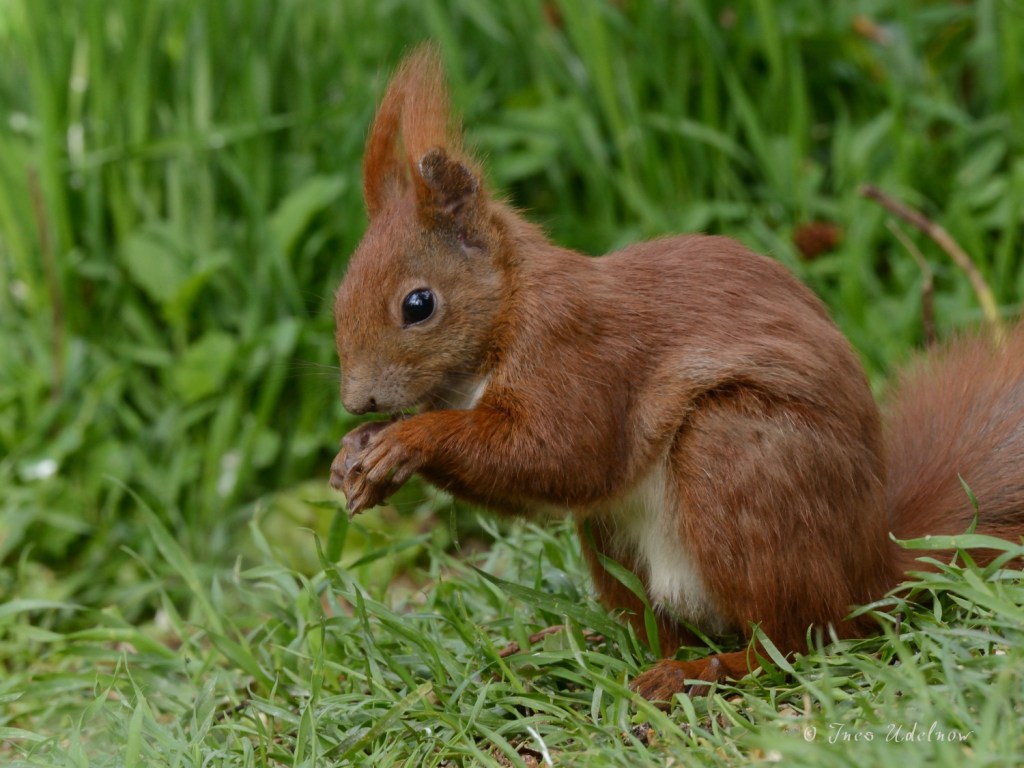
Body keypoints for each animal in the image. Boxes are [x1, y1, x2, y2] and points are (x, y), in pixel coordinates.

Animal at [328, 45, 1024, 702]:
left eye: (419, 304)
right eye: (338, 298)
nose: (358, 402)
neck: (506, 314)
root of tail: (876, 568)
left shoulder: (575, 351)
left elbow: (562, 454)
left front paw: (405, 442)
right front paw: (354, 451)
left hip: (738, 459)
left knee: (802, 639)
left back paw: (701, 671)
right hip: (615, 540)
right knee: (661, 625)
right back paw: (583, 648)